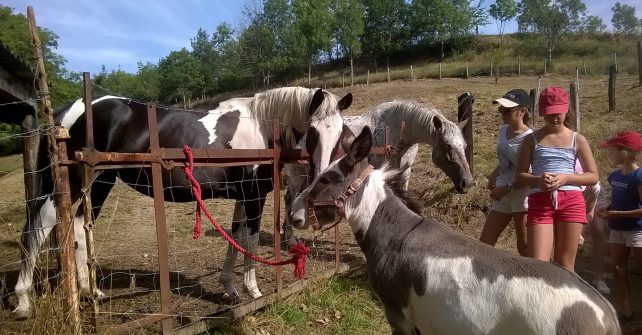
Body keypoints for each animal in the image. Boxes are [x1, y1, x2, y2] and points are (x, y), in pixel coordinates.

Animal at [12, 86, 352, 320]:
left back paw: (90, 291)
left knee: (79, 228)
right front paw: (253, 291)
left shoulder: (242, 196)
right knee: (39, 229)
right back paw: (24, 302)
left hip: (99, 183)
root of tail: (69, 110)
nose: (323, 178)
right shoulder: (254, 195)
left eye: (341, 133)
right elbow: (251, 241)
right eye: (312, 131)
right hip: (77, 182)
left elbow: (235, 237)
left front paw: (229, 289)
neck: (261, 126)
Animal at [280, 101, 470, 248]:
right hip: (299, 174)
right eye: (447, 145)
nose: (467, 182)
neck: (399, 131)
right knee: (290, 198)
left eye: (465, 145)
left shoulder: (404, 172)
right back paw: (289, 239)